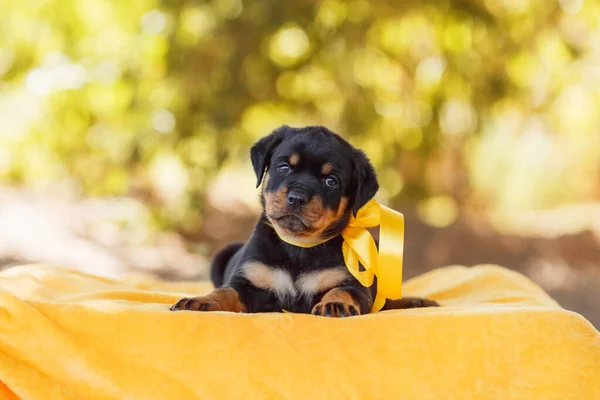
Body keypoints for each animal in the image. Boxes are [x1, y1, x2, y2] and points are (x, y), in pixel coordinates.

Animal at [171, 126, 438, 318]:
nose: (297, 197)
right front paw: (201, 300)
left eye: (331, 181)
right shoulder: (247, 282)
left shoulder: (354, 284)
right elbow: (225, 291)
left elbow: (341, 290)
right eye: (284, 167)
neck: (298, 247)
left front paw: (335, 304)